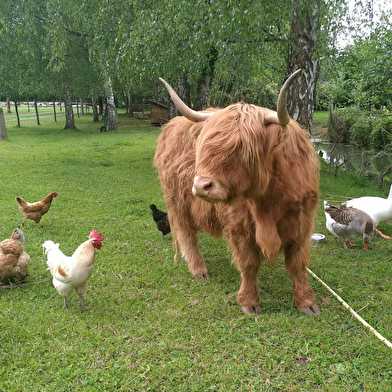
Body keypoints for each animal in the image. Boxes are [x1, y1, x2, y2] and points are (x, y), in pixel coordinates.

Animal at [155, 69, 320, 316]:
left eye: (244, 150)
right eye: (204, 147)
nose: (201, 185)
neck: (268, 201)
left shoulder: (302, 224)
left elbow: (298, 264)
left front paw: (306, 302)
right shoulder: (238, 226)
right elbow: (249, 263)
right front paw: (249, 302)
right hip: (177, 200)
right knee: (186, 234)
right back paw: (199, 270)